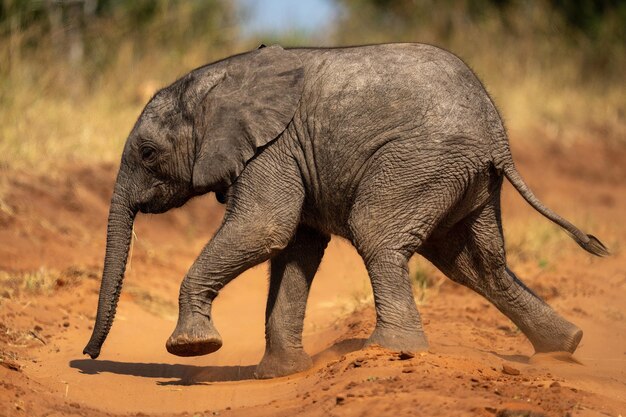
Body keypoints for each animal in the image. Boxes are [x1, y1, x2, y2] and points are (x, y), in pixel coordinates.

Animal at [83, 42, 604, 376]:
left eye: (148, 153)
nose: (89, 358)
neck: (215, 80)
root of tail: (498, 134)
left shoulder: (272, 148)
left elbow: (265, 228)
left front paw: (193, 349)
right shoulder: (291, 155)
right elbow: (295, 248)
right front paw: (279, 374)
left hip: (421, 161)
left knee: (378, 235)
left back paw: (387, 352)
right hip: (464, 178)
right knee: (474, 263)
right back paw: (564, 349)